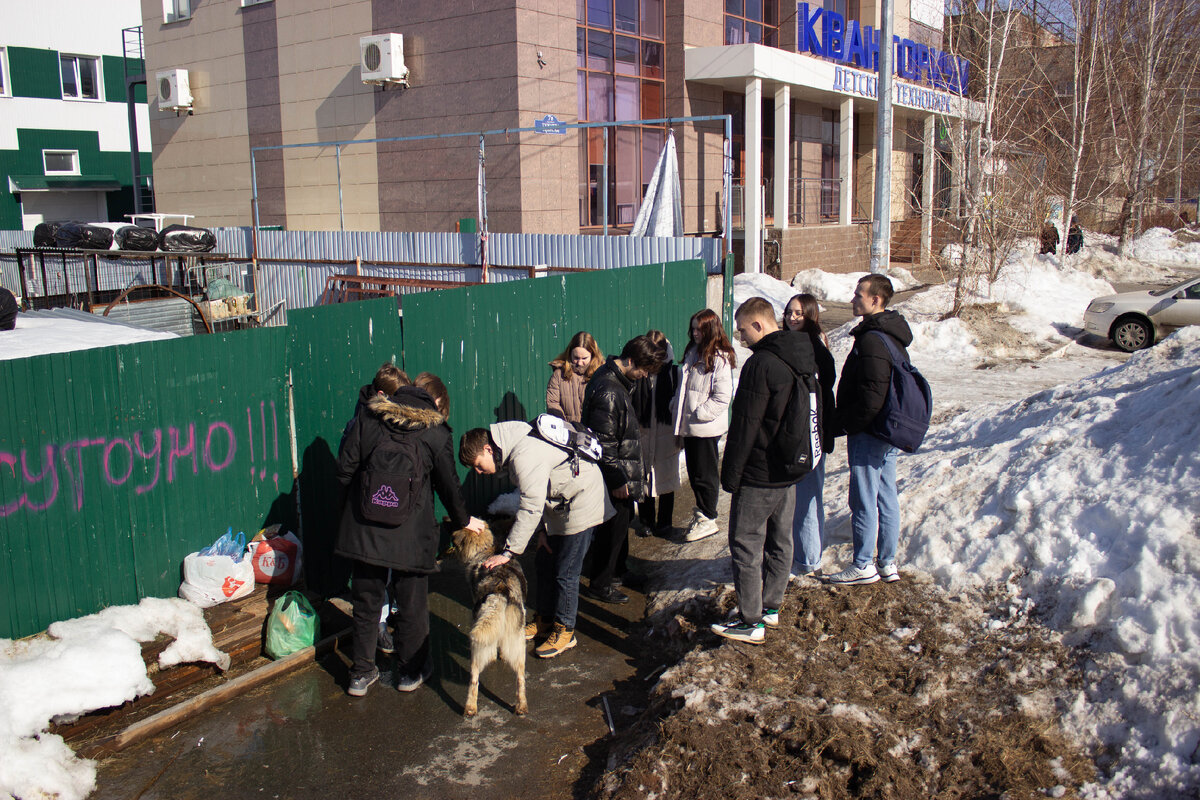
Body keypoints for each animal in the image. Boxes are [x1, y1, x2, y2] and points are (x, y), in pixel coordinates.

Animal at [448, 522, 528, 714]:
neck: (487, 550)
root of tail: (501, 591)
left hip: (476, 650)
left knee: (474, 679)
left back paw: (470, 708)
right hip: (519, 646)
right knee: (521, 678)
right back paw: (521, 706)